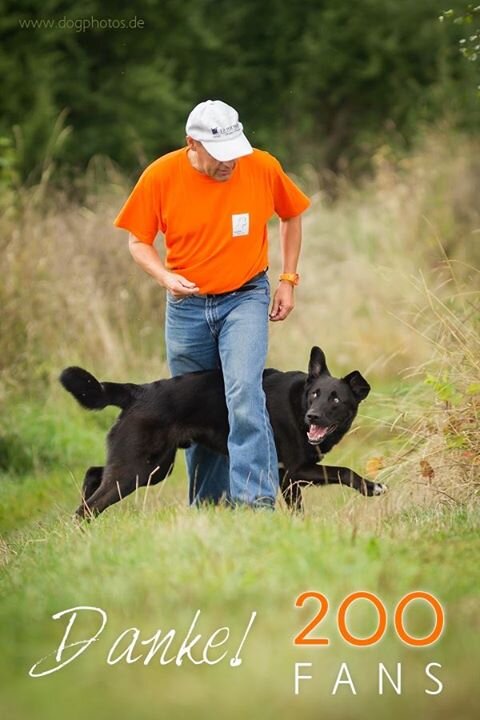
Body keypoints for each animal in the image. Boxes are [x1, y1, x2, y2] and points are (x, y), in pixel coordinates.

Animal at [60, 348, 386, 520]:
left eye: (335, 399)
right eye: (315, 394)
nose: (312, 416)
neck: (297, 404)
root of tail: (136, 391)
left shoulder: (288, 478)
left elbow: (299, 507)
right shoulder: (294, 470)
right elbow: (343, 470)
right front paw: (372, 487)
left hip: (155, 467)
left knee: (94, 472)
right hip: (138, 468)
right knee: (90, 503)